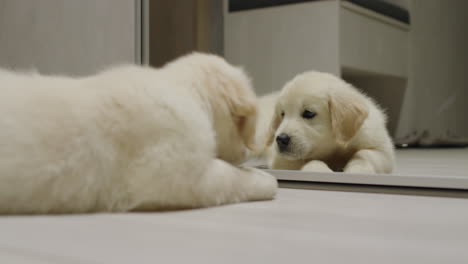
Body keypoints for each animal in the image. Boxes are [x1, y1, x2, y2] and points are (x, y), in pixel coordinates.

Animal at [256, 70, 394, 173]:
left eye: (308, 113)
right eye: (282, 114)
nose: (281, 139)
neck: (333, 148)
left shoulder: (383, 151)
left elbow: (364, 154)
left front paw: (357, 170)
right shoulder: (282, 160)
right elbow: (310, 159)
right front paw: (319, 169)